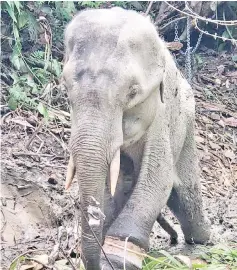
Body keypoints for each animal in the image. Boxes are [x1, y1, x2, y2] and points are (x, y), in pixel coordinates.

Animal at [62, 7, 210, 270]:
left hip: (186, 125)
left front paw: (119, 257)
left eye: (133, 92)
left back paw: (202, 240)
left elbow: (158, 180)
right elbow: (110, 183)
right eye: (66, 86)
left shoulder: (162, 117)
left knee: (185, 193)